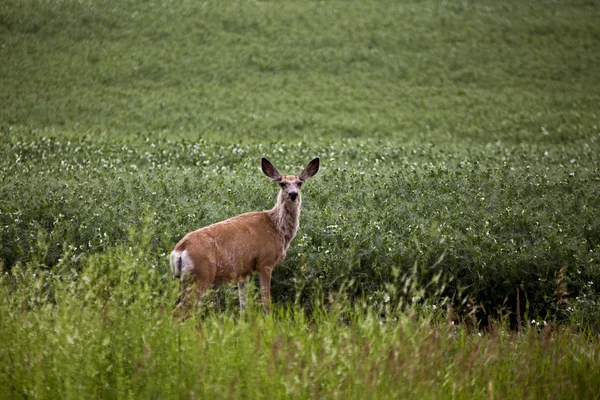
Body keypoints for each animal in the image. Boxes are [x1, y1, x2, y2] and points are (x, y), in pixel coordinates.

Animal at [170, 158, 318, 318]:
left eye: (299, 183)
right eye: (282, 183)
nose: (293, 194)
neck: (277, 227)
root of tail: (179, 249)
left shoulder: (243, 272)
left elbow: (243, 306)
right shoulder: (264, 263)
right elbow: (266, 301)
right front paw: (269, 320)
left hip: (185, 279)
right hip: (201, 274)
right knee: (178, 311)